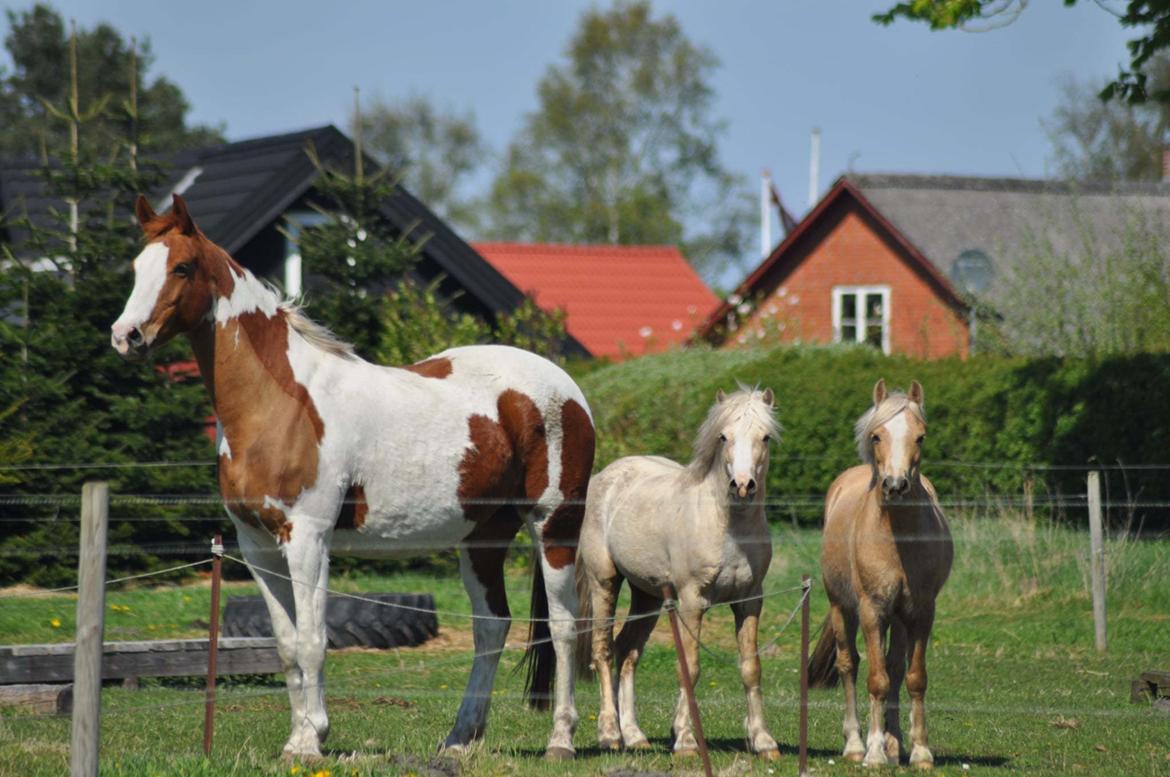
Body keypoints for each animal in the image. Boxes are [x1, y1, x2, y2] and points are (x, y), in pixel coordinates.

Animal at [110, 194, 595, 760]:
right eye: (136, 267)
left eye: (182, 267)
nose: (126, 336)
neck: (280, 403)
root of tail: (564, 387)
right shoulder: (256, 545)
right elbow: (286, 644)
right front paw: (297, 739)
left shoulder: (308, 538)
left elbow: (313, 640)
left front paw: (310, 740)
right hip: (482, 539)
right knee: (492, 626)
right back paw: (459, 739)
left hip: (554, 526)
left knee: (563, 628)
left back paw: (561, 740)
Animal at [575, 386, 782, 759]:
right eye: (723, 436)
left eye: (765, 437)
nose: (742, 486)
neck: (730, 530)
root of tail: (604, 477)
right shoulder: (691, 601)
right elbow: (691, 666)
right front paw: (685, 740)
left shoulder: (750, 601)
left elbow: (751, 668)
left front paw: (763, 741)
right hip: (605, 582)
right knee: (604, 651)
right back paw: (610, 734)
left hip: (647, 596)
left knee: (628, 652)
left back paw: (635, 736)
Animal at [807, 379, 952, 769]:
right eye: (876, 436)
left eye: (921, 437)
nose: (895, 485)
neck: (898, 537)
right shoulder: (872, 611)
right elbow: (876, 679)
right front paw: (872, 753)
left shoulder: (921, 613)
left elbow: (913, 677)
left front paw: (919, 751)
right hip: (843, 608)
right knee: (849, 665)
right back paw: (856, 744)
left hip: (899, 618)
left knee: (895, 668)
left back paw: (894, 742)